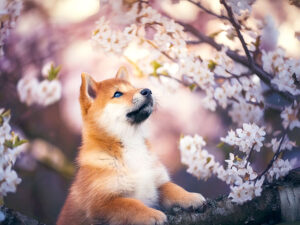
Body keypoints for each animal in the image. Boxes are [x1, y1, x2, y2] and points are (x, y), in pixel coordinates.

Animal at [56, 67, 205, 224]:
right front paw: (152, 214)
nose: (147, 91)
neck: (132, 142)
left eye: (134, 88)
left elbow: (174, 188)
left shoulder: (157, 182)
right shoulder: (102, 203)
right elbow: (131, 204)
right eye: (117, 94)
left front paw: (190, 197)